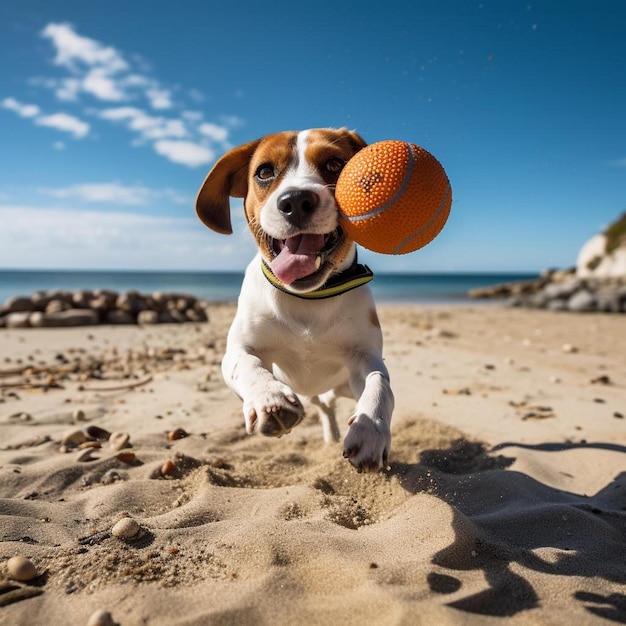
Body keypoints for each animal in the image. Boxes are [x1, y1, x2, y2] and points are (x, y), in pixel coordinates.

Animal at [195, 129, 392, 470]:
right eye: (264, 172)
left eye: (334, 163)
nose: (296, 201)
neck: (309, 299)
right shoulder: (237, 350)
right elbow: (247, 364)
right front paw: (270, 401)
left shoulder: (364, 356)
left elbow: (380, 383)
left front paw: (371, 430)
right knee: (322, 404)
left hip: (341, 385)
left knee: (328, 404)